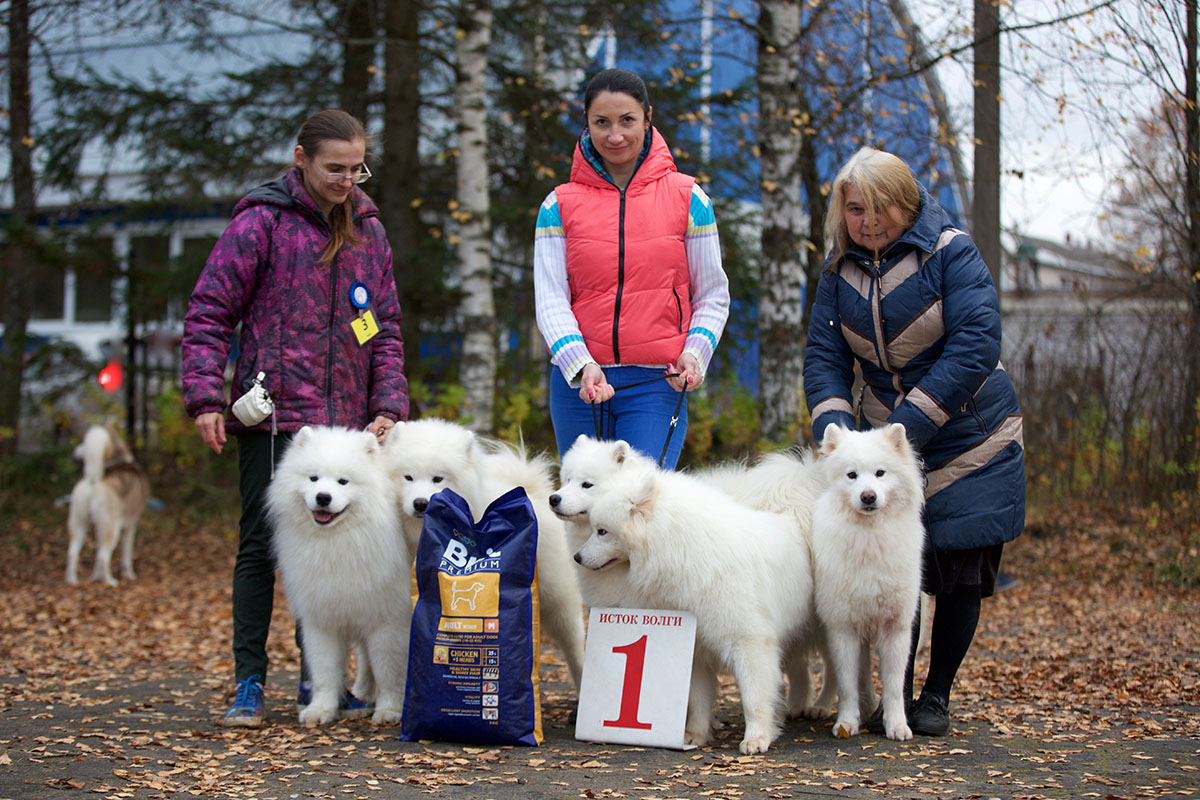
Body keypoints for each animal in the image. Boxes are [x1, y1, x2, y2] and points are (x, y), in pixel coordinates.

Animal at [66, 424, 150, 587]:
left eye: (83, 442)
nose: (72, 453)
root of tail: (94, 481)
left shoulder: (99, 528)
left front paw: (95, 576)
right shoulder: (130, 526)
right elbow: (126, 555)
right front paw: (129, 574)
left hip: (80, 524)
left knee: (74, 552)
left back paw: (72, 580)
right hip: (112, 528)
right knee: (103, 556)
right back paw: (110, 581)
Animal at [265, 429, 410, 729]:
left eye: (343, 481)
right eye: (313, 478)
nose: (323, 497)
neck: (337, 542)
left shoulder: (388, 622)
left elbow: (389, 669)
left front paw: (390, 709)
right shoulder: (322, 619)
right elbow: (325, 670)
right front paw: (322, 708)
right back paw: (362, 692)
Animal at [379, 419, 585, 690]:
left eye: (438, 478)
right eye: (408, 477)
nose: (421, 503)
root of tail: (534, 491)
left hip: (557, 596)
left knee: (573, 640)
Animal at [578, 455, 816, 758]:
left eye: (602, 532)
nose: (577, 556)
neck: (688, 550)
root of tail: (792, 510)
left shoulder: (750, 642)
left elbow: (754, 697)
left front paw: (757, 738)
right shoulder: (697, 646)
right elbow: (698, 700)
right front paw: (695, 736)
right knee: (800, 666)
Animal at [811, 424, 921, 743]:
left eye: (880, 473)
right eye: (852, 475)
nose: (868, 496)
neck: (870, 539)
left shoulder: (896, 628)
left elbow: (894, 686)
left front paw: (896, 725)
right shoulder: (843, 627)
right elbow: (847, 683)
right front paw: (847, 722)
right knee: (835, 676)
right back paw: (821, 706)